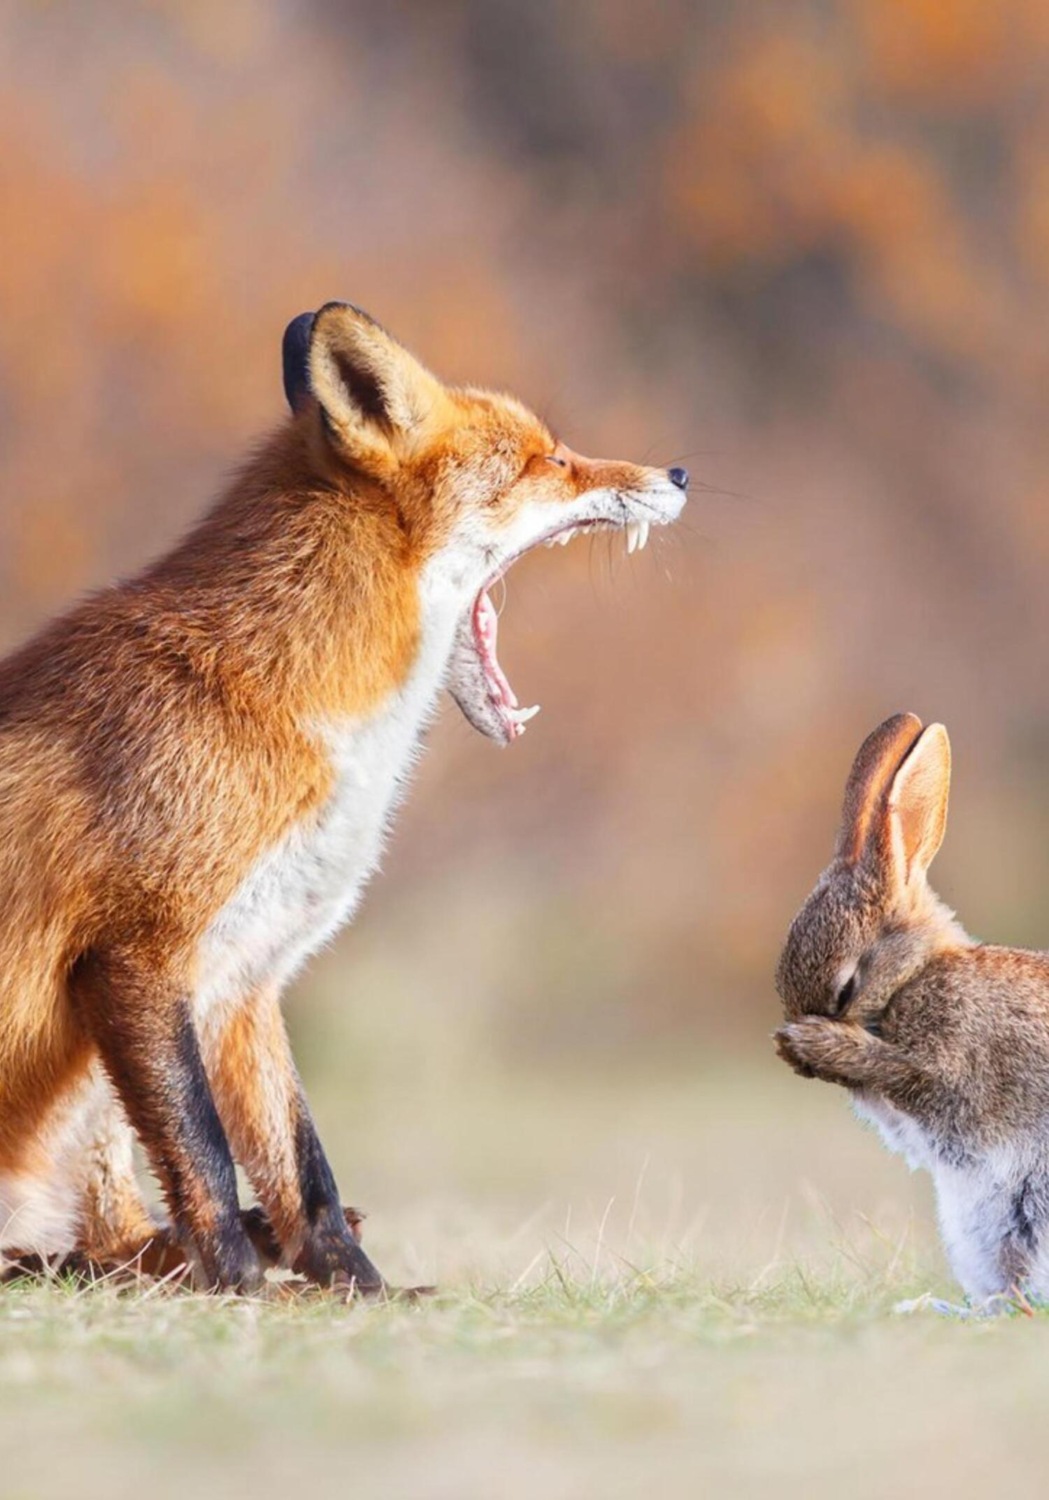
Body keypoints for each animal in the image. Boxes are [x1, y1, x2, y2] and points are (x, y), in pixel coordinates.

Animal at [774, 711, 1049, 1309]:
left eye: (846, 989)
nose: (797, 1058)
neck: (914, 975)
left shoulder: (956, 1070)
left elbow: (913, 1078)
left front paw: (817, 1045)